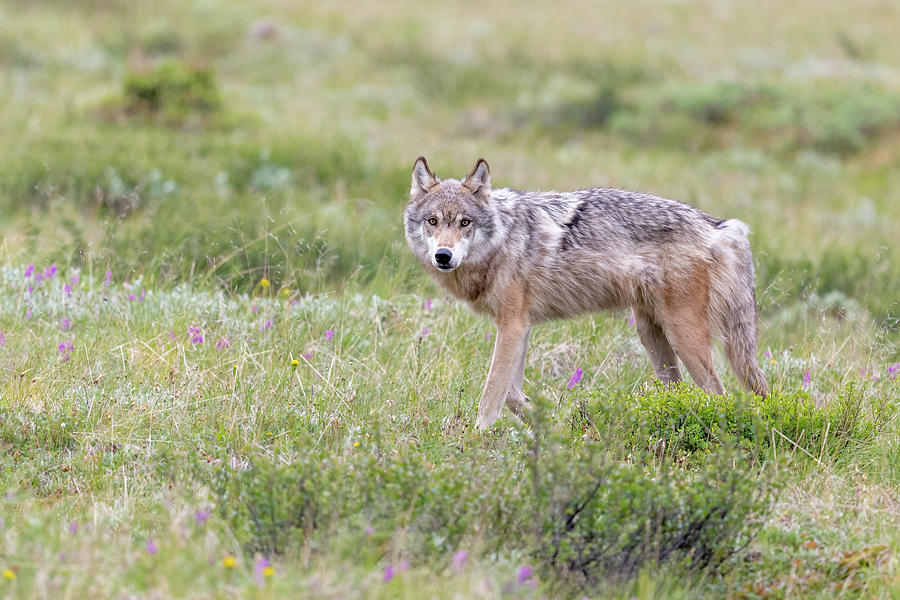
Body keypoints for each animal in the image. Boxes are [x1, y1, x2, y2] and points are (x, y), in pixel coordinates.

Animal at [404, 157, 768, 428]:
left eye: (464, 223)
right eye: (433, 221)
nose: (443, 256)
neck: (502, 240)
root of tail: (722, 226)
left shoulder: (512, 326)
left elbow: (492, 394)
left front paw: (476, 443)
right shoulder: (520, 326)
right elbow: (512, 394)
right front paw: (554, 427)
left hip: (685, 339)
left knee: (720, 396)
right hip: (652, 336)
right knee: (682, 393)